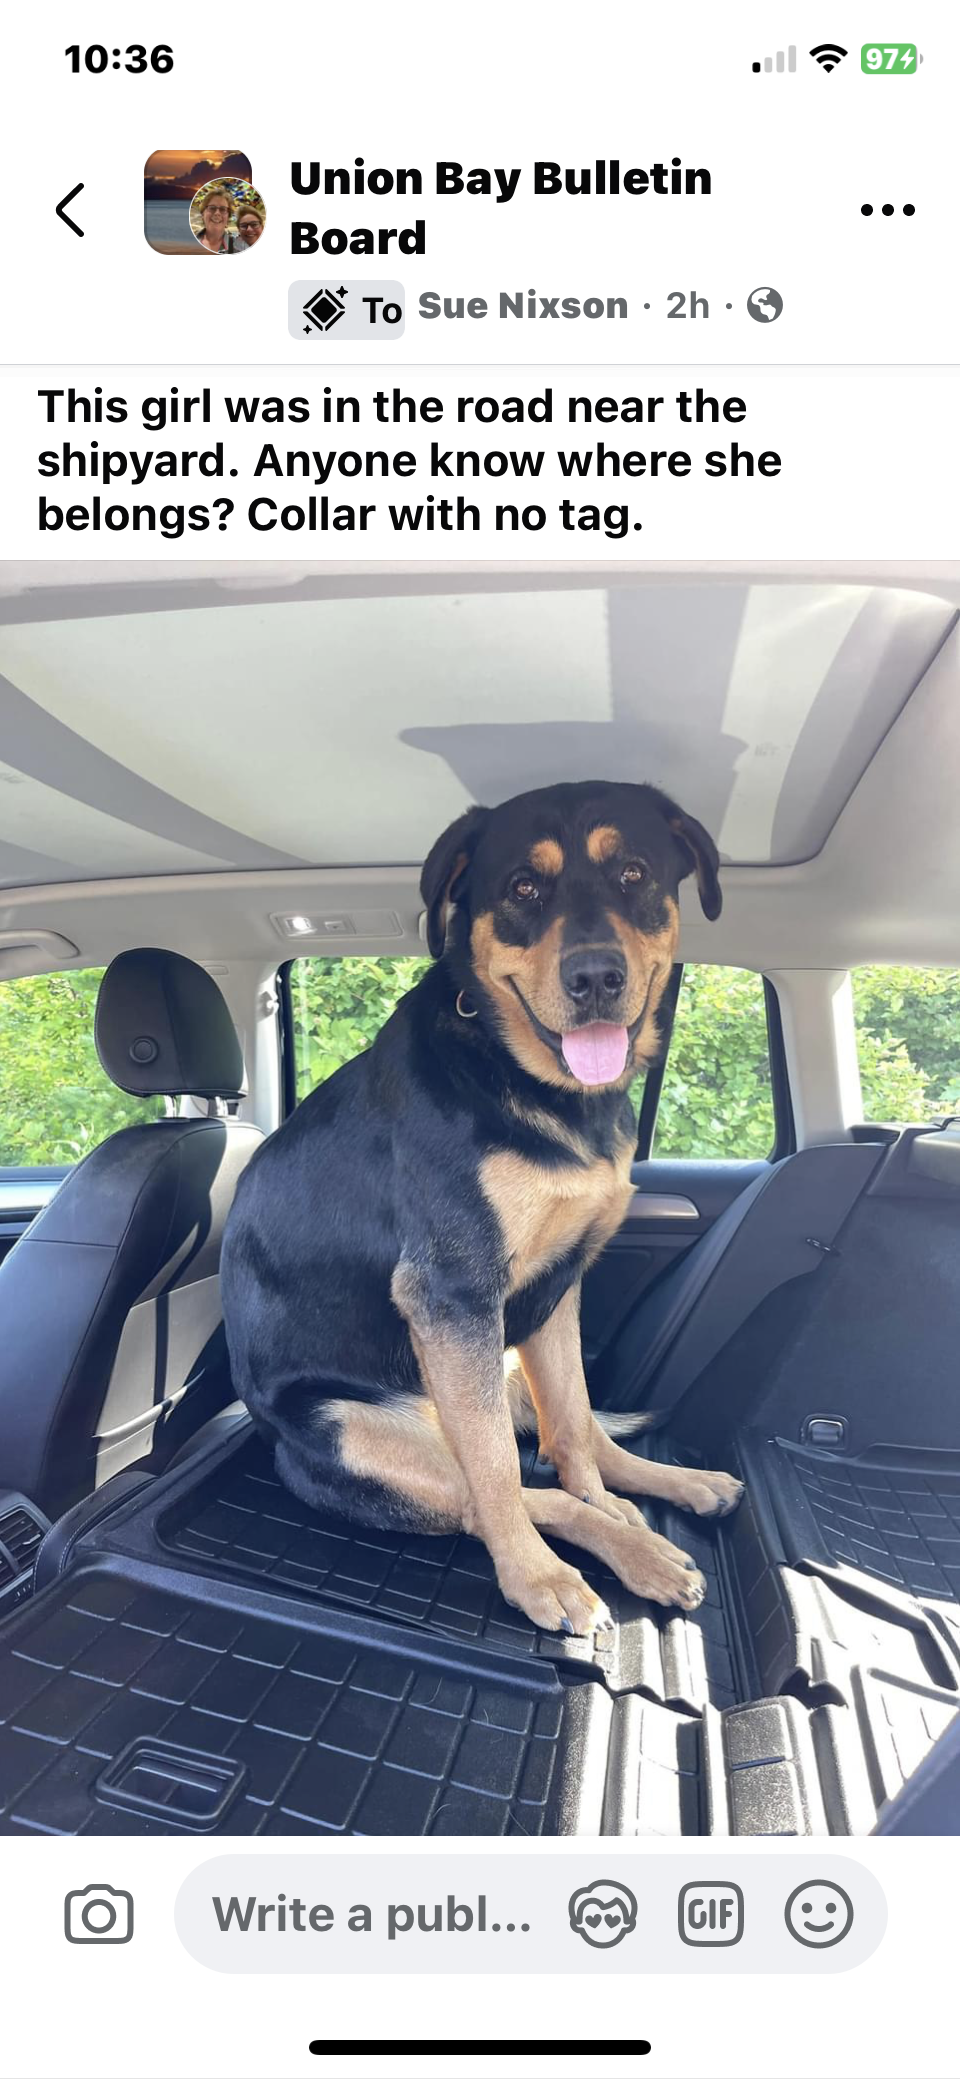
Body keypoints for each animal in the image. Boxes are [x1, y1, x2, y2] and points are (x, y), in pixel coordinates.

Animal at [221, 780, 743, 1636]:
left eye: (633, 873)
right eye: (523, 888)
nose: (595, 977)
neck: (525, 1077)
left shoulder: (556, 1286)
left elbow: (575, 1420)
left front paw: (617, 1500)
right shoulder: (454, 1297)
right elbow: (501, 1472)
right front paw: (538, 1579)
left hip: (504, 1359)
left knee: (574, 1438)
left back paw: (668, 1490)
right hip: (357, 1429)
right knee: (499, 1493)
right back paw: (626, 1550)